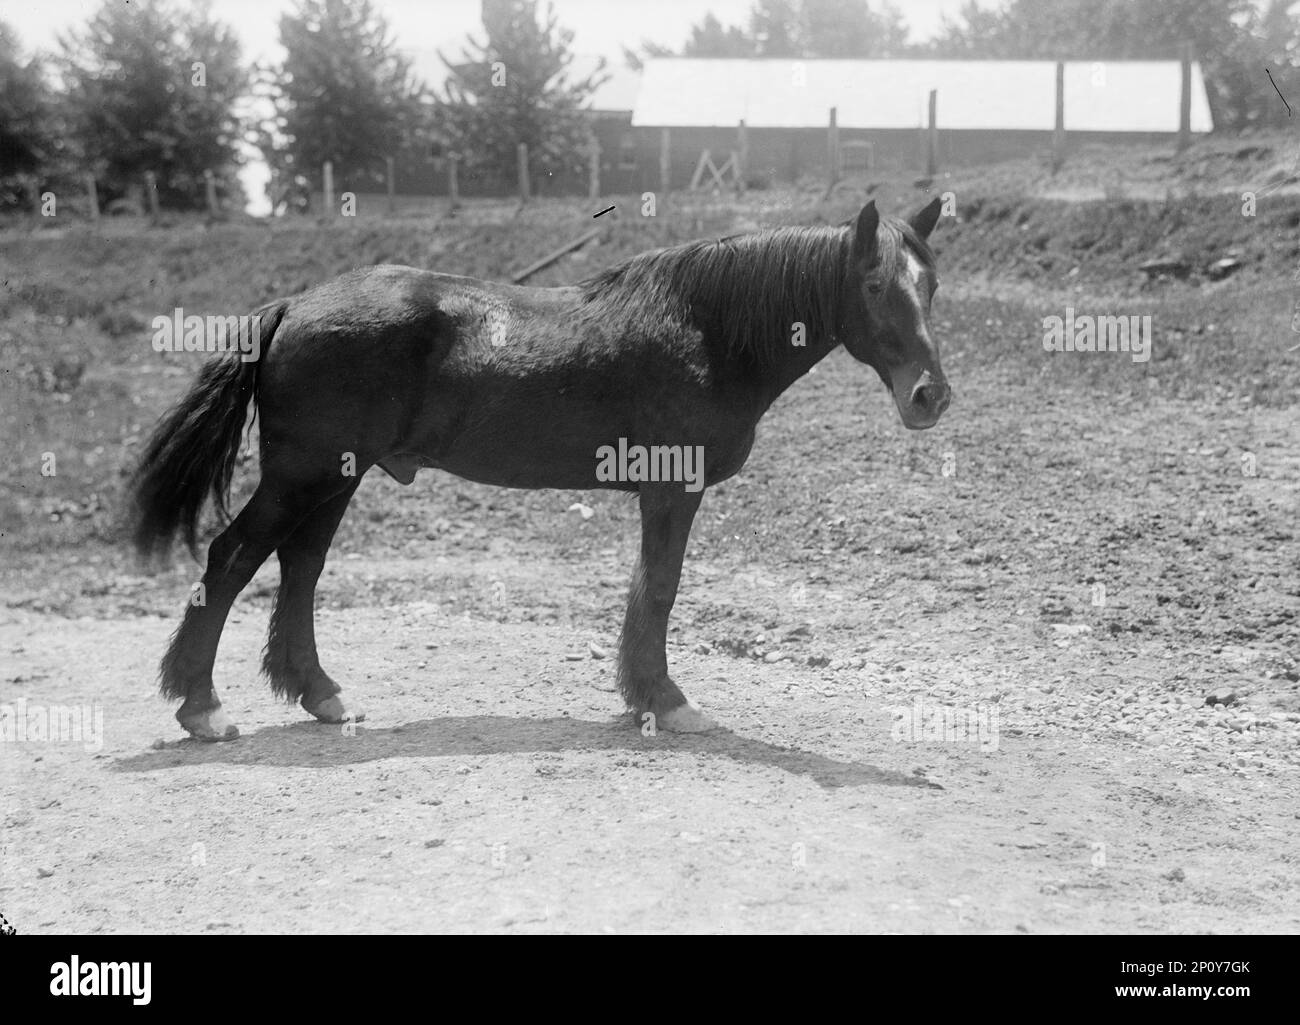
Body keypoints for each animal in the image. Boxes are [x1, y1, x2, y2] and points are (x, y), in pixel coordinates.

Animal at [131, 200, 951, 738]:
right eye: (874, 285)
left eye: (931, 284)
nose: (930, 395)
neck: (706, 329)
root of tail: (293, 305)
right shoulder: (671, 488)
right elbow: (660, 587)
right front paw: (665, 700)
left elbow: (647, 589)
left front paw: (641, 696)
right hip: (302, 477)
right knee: (233, 557)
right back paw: (203, 707)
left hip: (336, 477)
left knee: (299, 569)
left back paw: (321, 694)